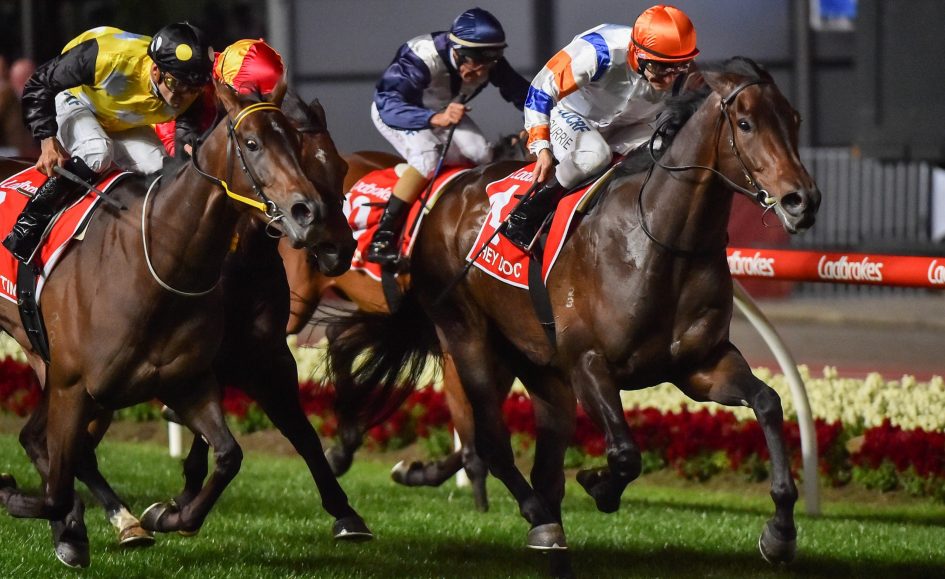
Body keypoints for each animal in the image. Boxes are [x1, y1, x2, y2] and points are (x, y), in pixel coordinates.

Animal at [0, 81, 355, 568]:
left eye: (338, 164)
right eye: (252, 144)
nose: (316, 221)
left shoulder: (206, 374)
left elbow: (240, 450)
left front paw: (171, 514)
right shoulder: (76, 384)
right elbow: (56, 484)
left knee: (39, 440)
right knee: (52, 447)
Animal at [325, 58, 821, 575]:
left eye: (795, 120)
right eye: (745, 123)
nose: (802, 201)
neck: (659, 240)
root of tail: (451, 192)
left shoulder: (701, 366)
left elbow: (768, 402)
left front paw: (781, 531)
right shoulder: (588, 363)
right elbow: (624, 454)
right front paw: (599, 485)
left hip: (538, 366)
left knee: (539, 459)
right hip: (465, 334)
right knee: (493, 442)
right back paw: (538, 518)